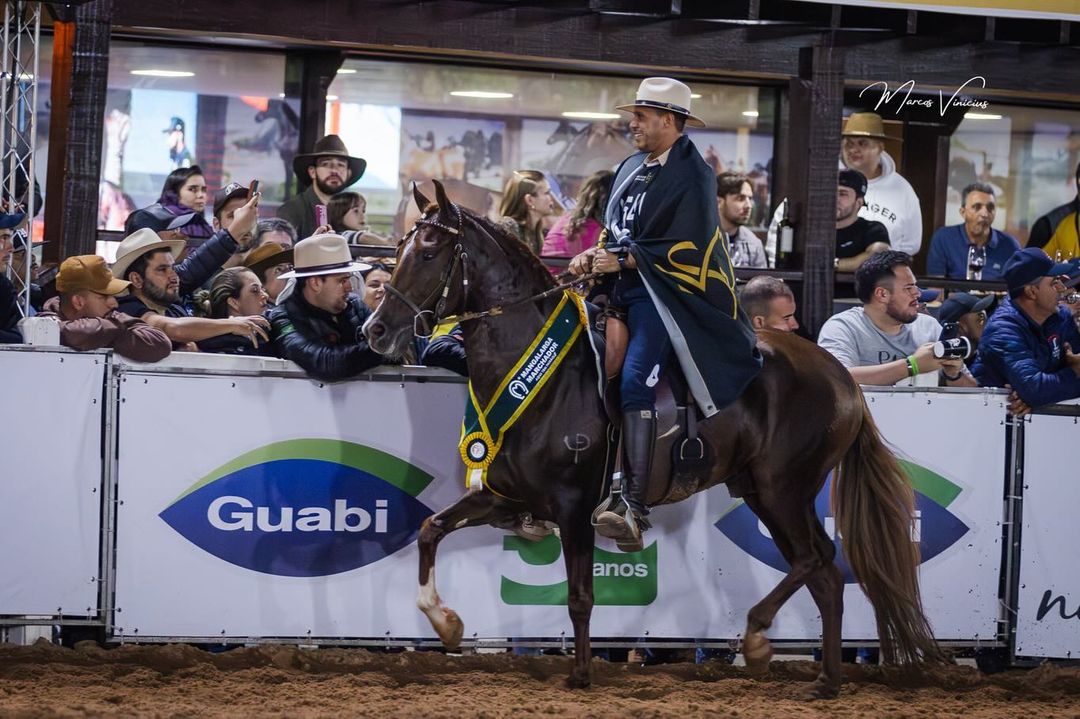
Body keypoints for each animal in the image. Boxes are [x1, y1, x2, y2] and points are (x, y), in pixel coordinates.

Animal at [362, 180, 946, 699]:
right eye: (398, 250)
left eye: (429, 251)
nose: (376, 330)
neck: (543, 374)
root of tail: (842, 378)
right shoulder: (505, 497)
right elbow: (431, 529)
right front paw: (446, 622)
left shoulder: (573, 506)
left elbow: (580, 596)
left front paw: (581, 675)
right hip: (764, 493)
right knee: (822, 574)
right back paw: (824, 680)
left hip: (782, 488)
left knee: (818, 558)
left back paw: (759, 638)